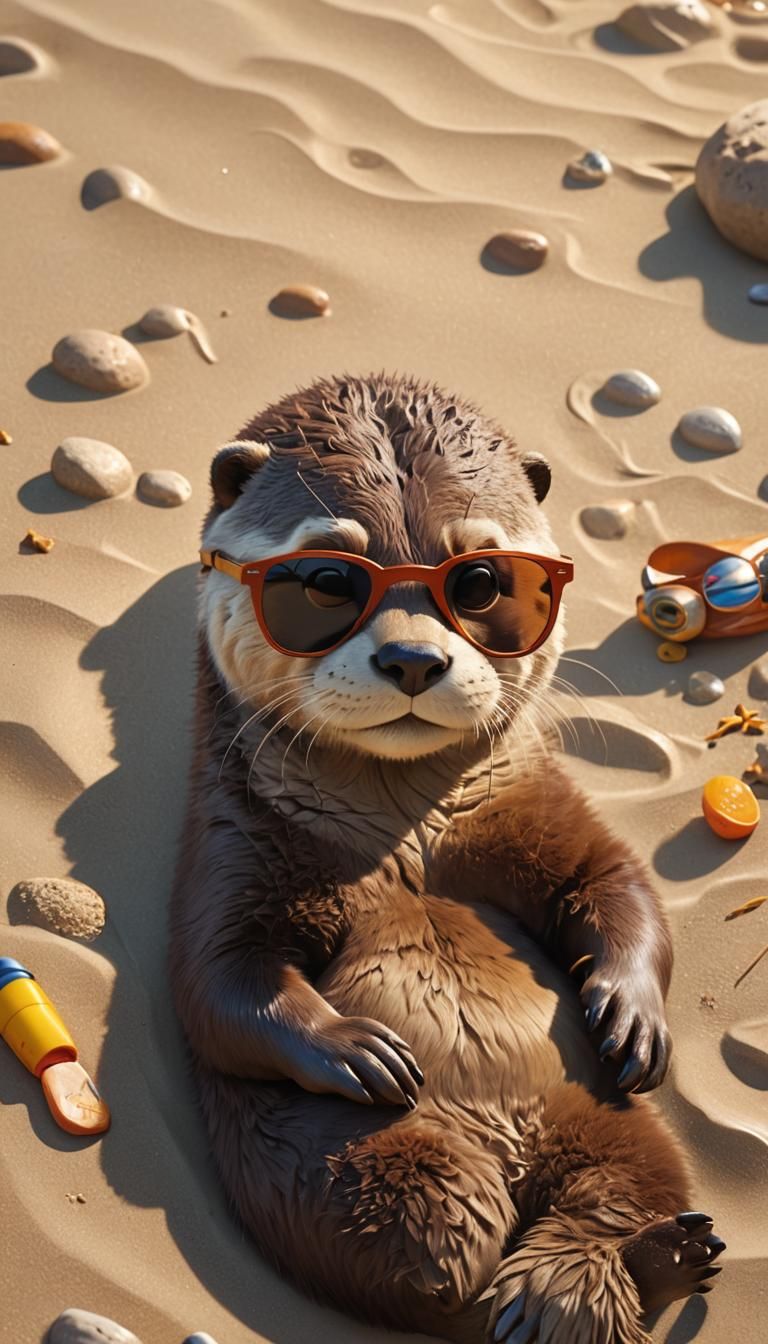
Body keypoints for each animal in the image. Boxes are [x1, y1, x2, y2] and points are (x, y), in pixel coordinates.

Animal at [170, 374, 724, 1344]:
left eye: (481, 580)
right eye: (328, 579)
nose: (413, 657)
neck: (410, 835)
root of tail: (513, 1153)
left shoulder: (540, 808)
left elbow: (617, 886)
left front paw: (631, 1016)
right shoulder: (230, 838)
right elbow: (218, 981)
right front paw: (355, 1048)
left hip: (619, 1128)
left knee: (619, 1195)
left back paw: (643, 1262)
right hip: (330, 1162)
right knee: (436, 1266)